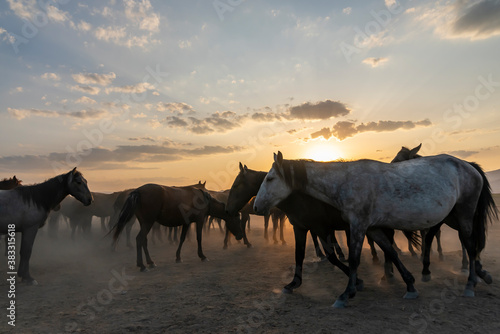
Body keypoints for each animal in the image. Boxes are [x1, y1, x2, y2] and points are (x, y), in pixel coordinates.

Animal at [114, 183, 246, 272]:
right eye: (237, 220)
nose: (240, 236)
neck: (203, 200)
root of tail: (138, 191)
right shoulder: (199, 221)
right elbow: (199, 238)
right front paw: (202, 256)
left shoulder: (186, 223)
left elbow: (182, 238)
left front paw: (178, 257)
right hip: (148, 223)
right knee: (139, 239)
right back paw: (142, 265)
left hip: (144, 223)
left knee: (143, 241)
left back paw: (150, 262)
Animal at [227, 163, 418, 294]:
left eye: (236, 185)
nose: (228, 209)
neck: (297, 196)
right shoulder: (300, 228)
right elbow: (299, 255)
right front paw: (294, 283)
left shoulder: (320, 228)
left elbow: (332, 256)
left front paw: (356, 280)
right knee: (388, 247)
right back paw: (399, 277)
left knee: (389, 246)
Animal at [256, 151, 498, 308]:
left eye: (270, 178)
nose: (257, 206)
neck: (345, 182)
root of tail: (469, 166)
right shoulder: (371, 228)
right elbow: (389, 250)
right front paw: (409, 285)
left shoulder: (357, 225)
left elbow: (354, 259)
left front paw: (346, 293)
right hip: (454, 217)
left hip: (463, 214)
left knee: (469, 245)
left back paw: (470, 284)